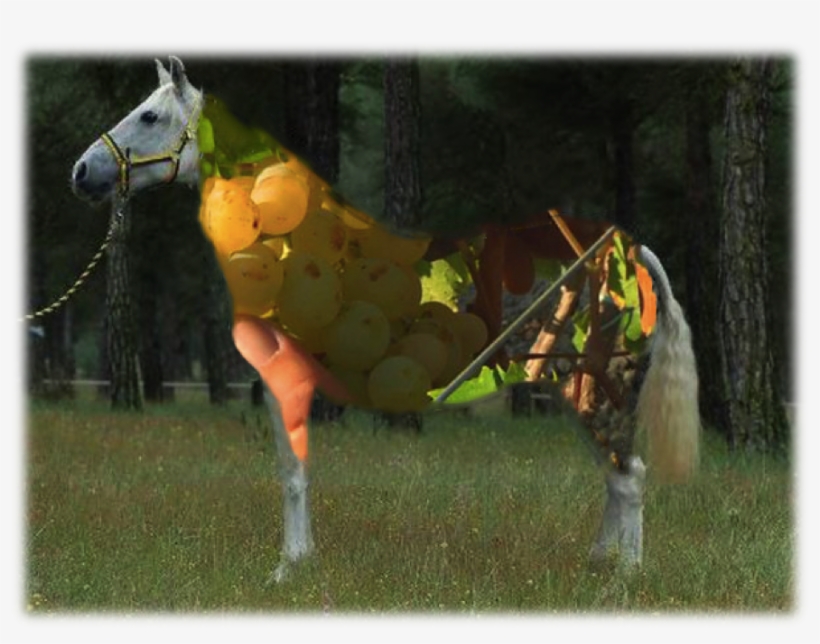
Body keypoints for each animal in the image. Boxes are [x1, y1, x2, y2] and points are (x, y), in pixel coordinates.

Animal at [71, 56, 700, 584]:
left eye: (149, 115)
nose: (81, 172)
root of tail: (631, 251)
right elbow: (298, 468)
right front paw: (301, 562)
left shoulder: (281, 380)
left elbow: (291, 472)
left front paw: (286, 570)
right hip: (577, 389)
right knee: (615, 476)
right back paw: (598, 562)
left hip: (595, 387)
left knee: (630, 475)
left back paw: (623, 579)